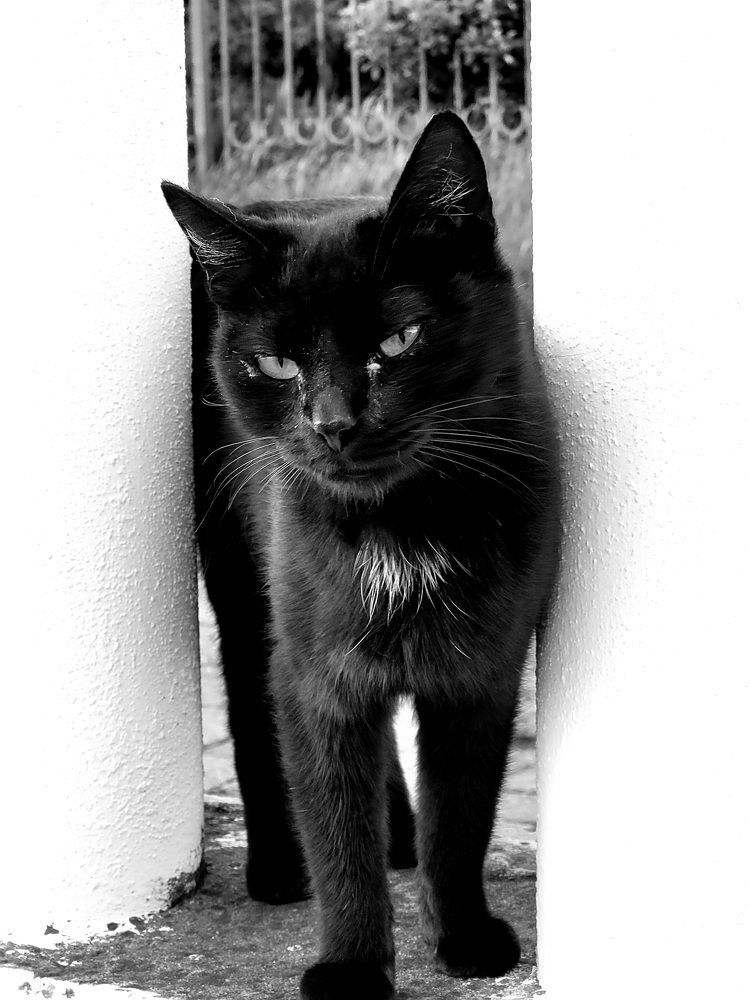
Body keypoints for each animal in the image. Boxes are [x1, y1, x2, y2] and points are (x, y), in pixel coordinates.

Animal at [162, 111, 560, 1000]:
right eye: (277, 363)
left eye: (400, 339)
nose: (334, 424)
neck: (400, 524)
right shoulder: (317, 667)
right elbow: (336, 824)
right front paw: (350, 965)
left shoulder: (483, 669)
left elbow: (463, 816)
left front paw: (464, 935)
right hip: (241, 580)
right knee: (253, 711)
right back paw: (279, 866)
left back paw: (400, 836)